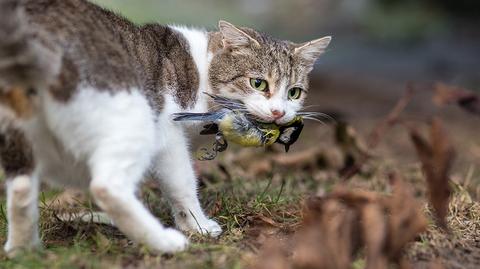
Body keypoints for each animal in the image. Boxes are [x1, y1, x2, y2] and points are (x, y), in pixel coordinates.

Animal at [0, 0, 330, 254]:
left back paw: (23, 250)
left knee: (21, 188)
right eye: (258, 83)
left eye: (294, 92)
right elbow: (181, 184)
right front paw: (197, 226)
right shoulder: (168, 134)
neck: (201, 68)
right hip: (135, 119)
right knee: (106, 186)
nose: (278, 112)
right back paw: (164, 242)